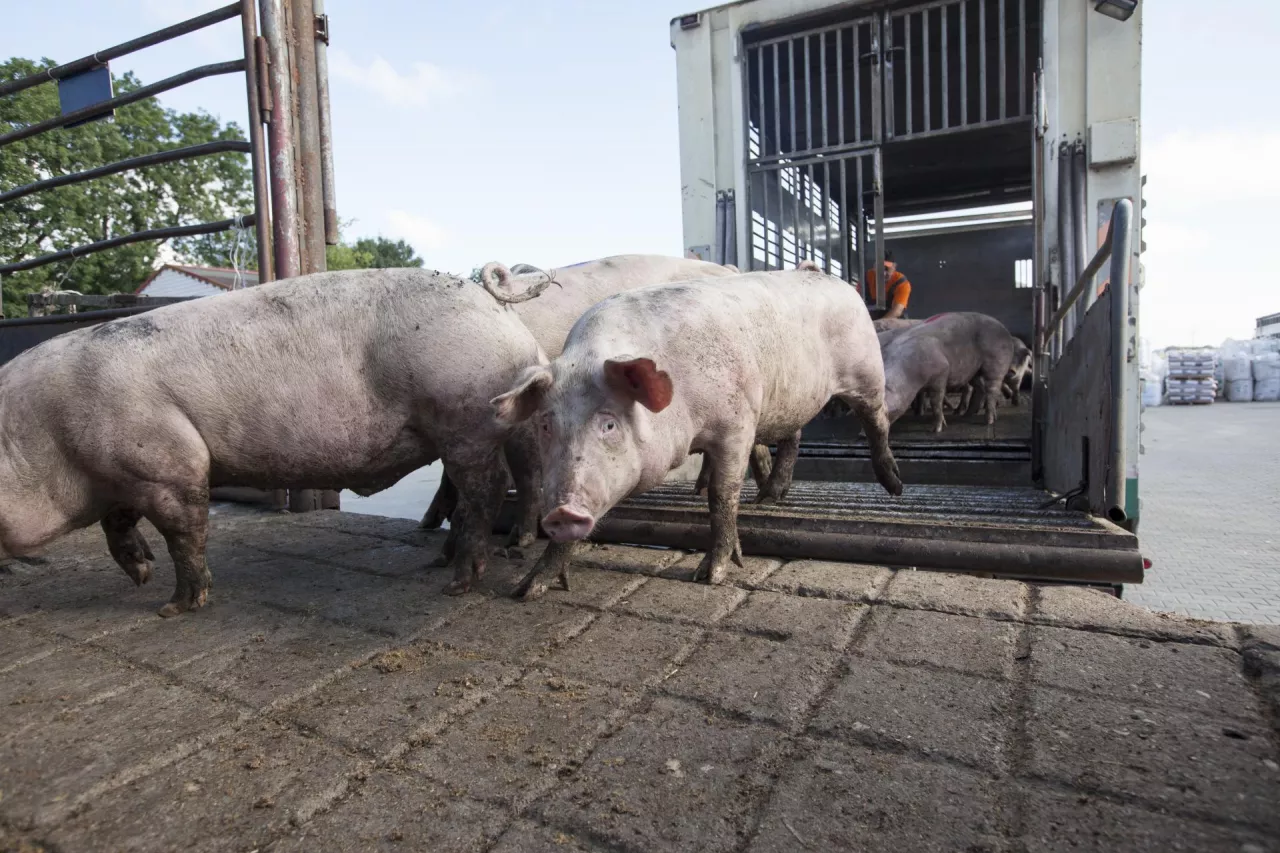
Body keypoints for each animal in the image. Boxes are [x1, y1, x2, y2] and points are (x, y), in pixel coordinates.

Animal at [0, 268, 545, 607]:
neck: (41, 438)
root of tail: (494, 305)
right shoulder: (125, 475)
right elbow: (118, 524)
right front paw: (141, 575)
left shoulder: (169, 463)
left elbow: (184, 532)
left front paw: (174, 606)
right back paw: (458, 557)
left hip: (464, 418)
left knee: (486, 489)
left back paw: (458, 583)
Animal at [488, 268, 901, 594]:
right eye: (545, 424)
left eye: (608, 423)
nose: (562, 512)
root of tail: (830, 278)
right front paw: (527, 589)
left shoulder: (737, 422)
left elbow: (723, 496)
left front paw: (710, 576)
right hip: (792, 396)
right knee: (794, 435)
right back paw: (768, 498)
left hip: (866, 369)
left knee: (877, 419)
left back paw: (893, 486)